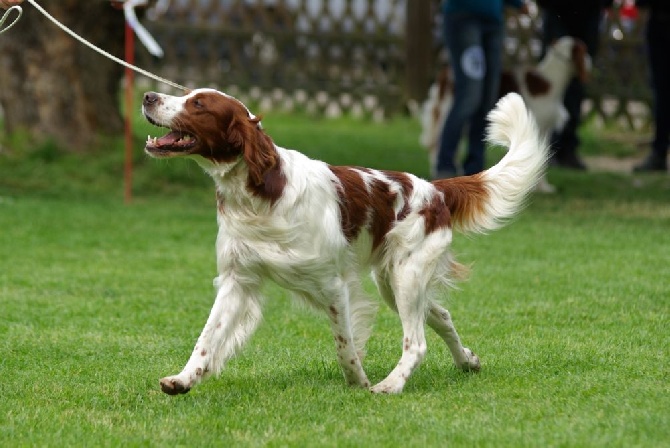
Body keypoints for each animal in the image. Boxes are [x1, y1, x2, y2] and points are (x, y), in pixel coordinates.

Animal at [144, 88, 548, 396]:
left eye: (198, 104)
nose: (149, 96)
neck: (260, 195)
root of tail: (435, 189)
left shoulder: (333, 286)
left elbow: (345, 347)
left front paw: (359, 382)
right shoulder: (237, 281)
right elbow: (205, 340)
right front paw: (182, 380)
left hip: (406, 276)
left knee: (416, 342)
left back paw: (390, 386)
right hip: (393, 282)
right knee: (442, 315)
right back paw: (467, 361)